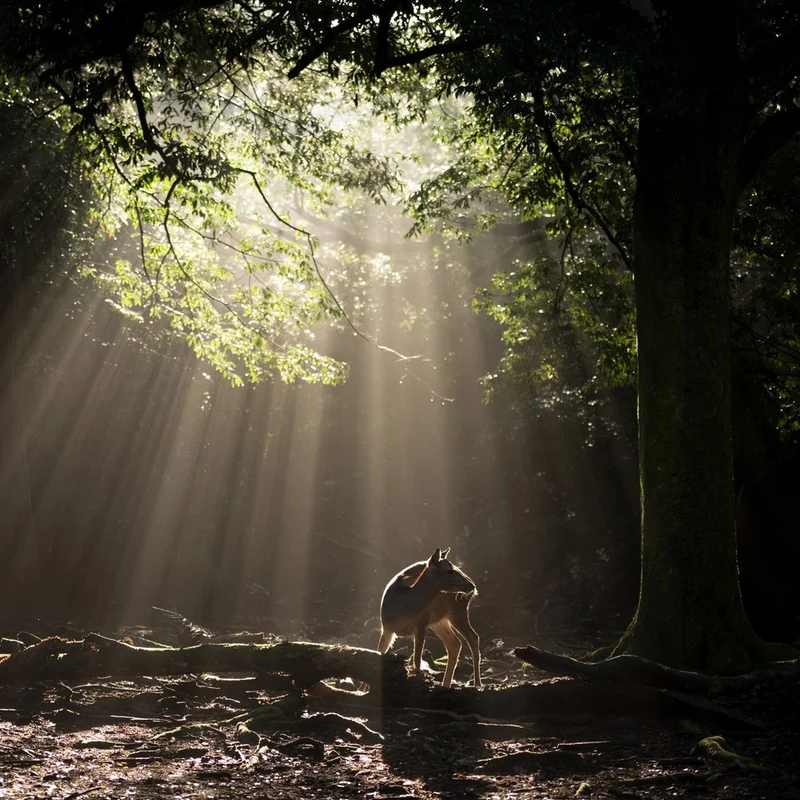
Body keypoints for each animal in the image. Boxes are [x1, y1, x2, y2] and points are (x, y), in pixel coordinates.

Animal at [377, 547, 481, 688]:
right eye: (449, 570)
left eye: (454, 568)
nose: (471, 585)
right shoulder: (386, 629)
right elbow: (377, 653)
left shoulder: (421, 624)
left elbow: (417, 660)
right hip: (439, 621)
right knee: (455, 643)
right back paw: (446, 685)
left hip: (457, 611)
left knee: (473, 637)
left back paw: (478, 684)